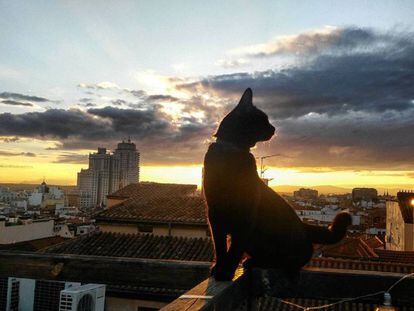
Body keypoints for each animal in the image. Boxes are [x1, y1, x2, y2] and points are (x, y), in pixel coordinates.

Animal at [202, 88, 350, 282]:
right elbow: (219, 247)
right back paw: (251, 261)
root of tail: (304, 226)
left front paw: (226, 272)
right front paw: (218, 269)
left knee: (287, 261)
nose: (274, 128)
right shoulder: (215, 212)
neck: (232, 153)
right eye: (264, 119)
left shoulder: (246, 214)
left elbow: (234, 249)